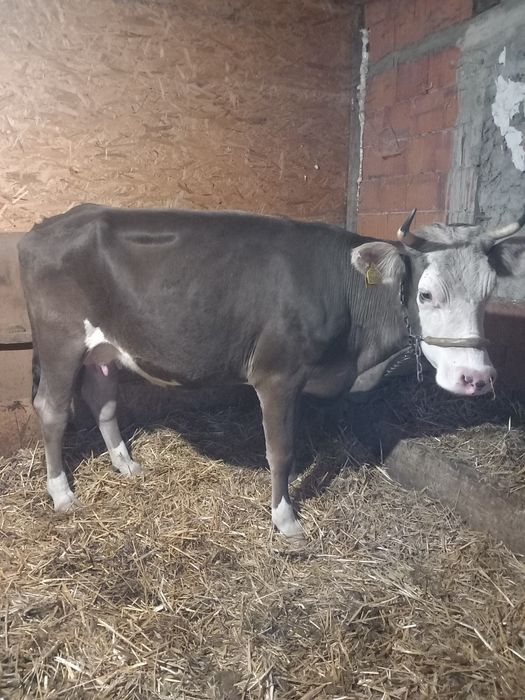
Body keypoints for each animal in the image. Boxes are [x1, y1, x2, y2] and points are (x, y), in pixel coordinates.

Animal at [17, 204, 525, 537]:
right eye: (426, 294)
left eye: (488, 294)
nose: (477, 378)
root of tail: (48, 225)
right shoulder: (277, 375)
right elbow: (280, 451)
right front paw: (286, 519)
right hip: (61, 340)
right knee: (53, 410)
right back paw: (61, 494)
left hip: (102, 347)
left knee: (102, 400)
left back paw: (126, 464)